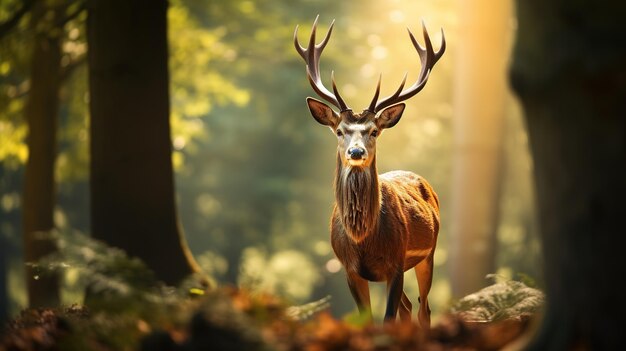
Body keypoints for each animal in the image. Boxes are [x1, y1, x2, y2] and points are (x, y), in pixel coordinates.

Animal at [292, 17, 444, 330]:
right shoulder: (350, 270)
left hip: (430, 253)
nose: (356, 152)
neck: (363, 241)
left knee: (423, 309)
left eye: (374, 131)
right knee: (408, 308)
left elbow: (387, 319)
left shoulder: (396, 263)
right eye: (340, 131)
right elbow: (368, 320)